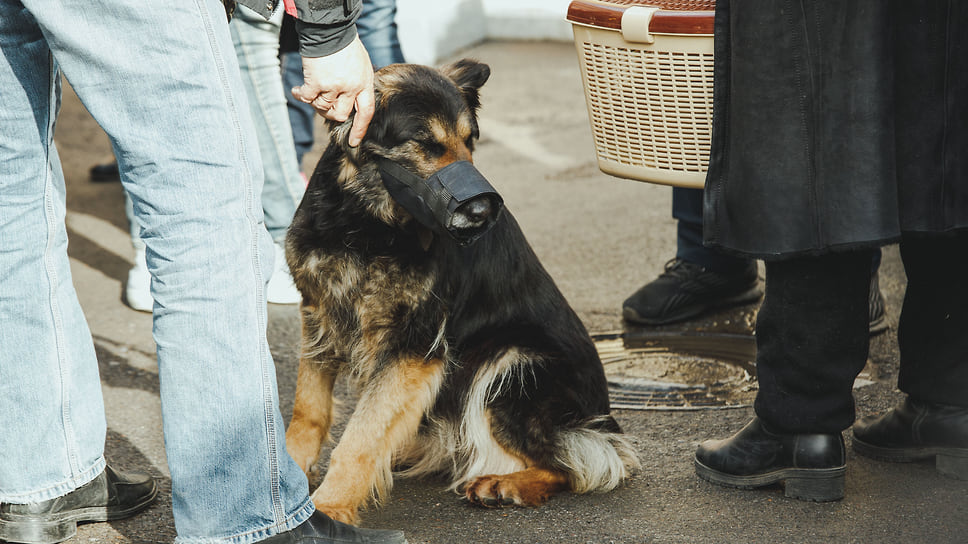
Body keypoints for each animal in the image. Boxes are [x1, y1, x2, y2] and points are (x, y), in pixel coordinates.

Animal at [284, 57, 640, 524]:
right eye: (424, 143)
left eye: (471, 140)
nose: (483, 212)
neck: (365, 225)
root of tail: (602, 418)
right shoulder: (320, 316)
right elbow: (308, 409)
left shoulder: (414, 348)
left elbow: (360, 436)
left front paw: (328, 508)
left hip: (510, 364)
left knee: (578, 463)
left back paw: (505, 484)